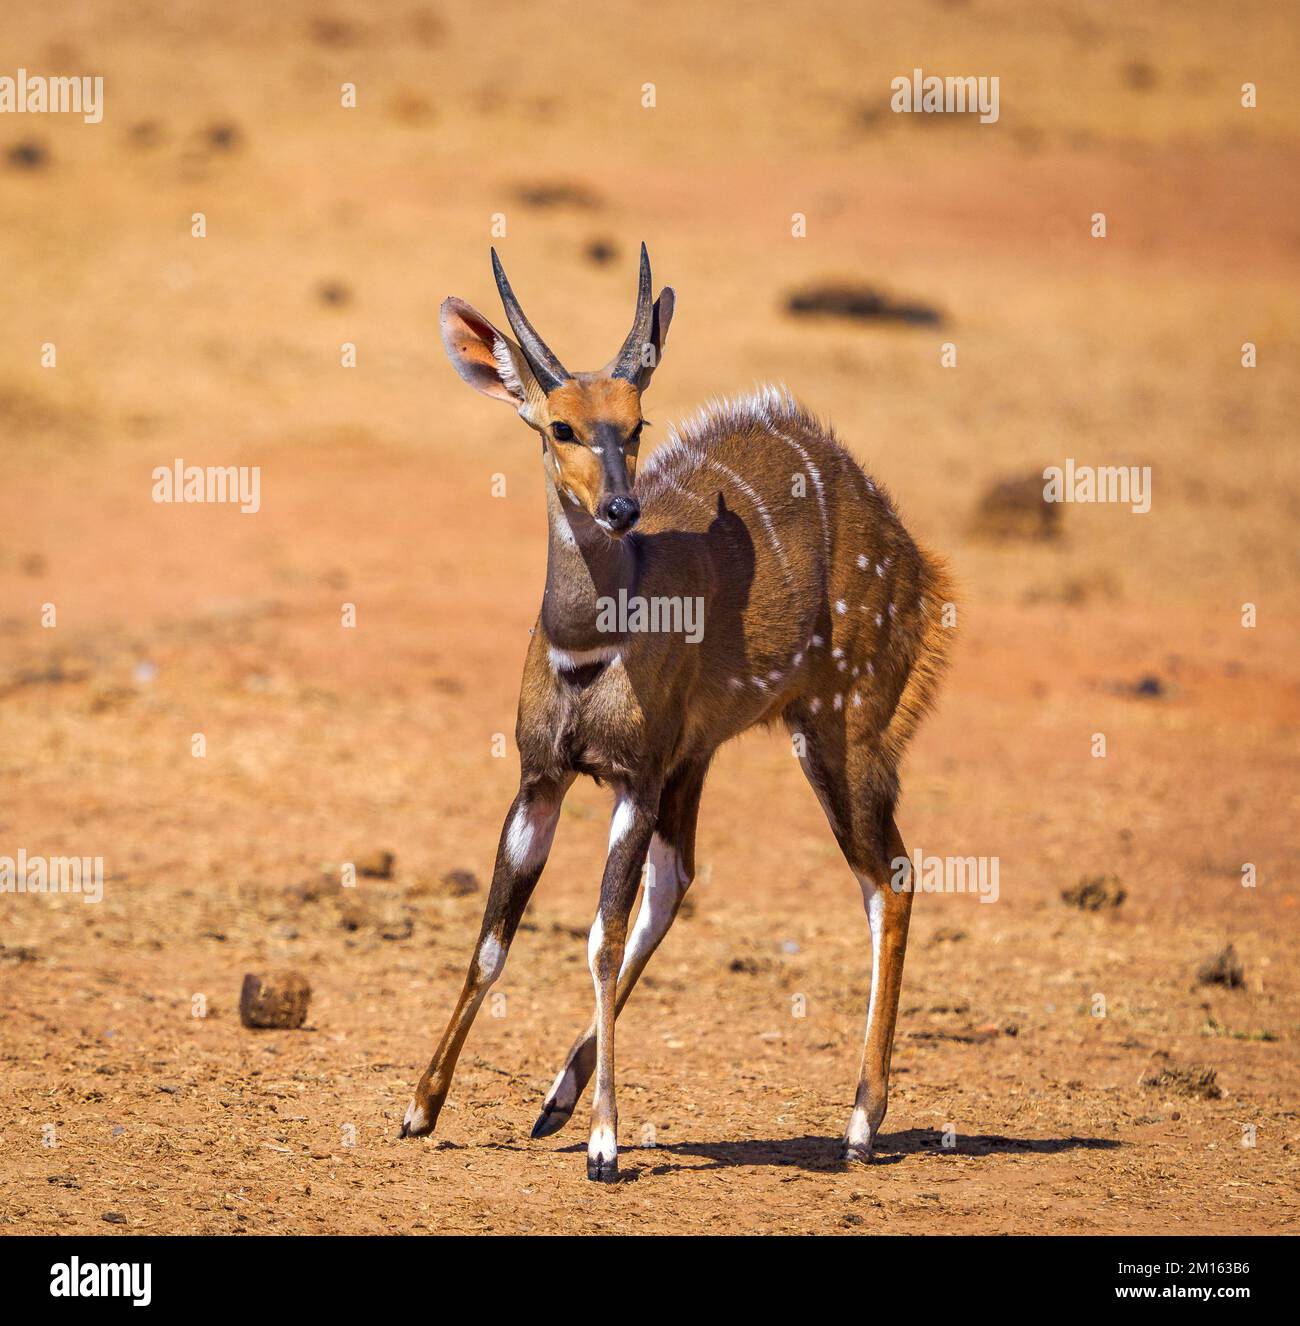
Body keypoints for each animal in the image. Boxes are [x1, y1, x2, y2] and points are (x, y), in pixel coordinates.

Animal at [403, 243, 955, 1177]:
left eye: (637, 423)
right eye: (560, 426)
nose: (620, 507)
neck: (591, 646)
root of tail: (917, 564)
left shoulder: (633, 776)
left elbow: (597, 934)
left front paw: (606, 1145)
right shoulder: (543, 777)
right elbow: (493, 938)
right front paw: (420, 1108)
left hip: (841, 731)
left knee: (890, 877)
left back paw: (859, 1124)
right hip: (703, 757)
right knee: (681, 877)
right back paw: (554, 1100)